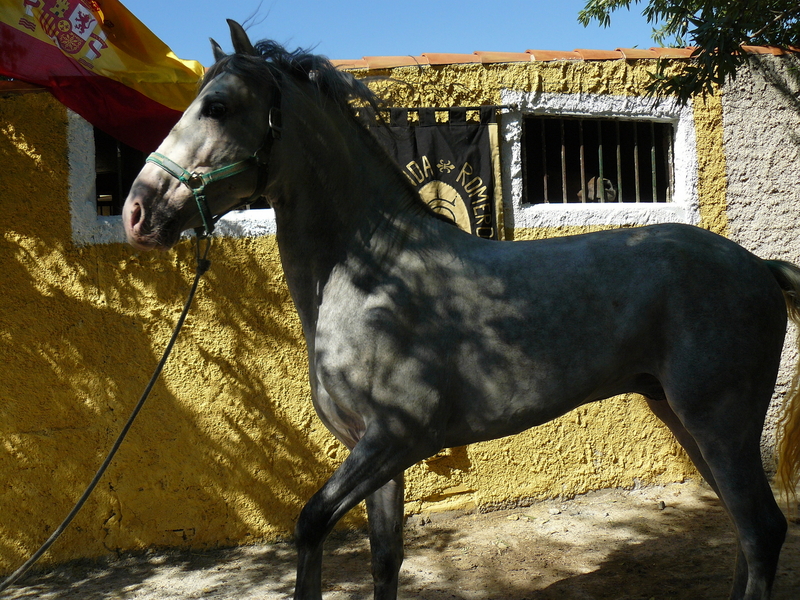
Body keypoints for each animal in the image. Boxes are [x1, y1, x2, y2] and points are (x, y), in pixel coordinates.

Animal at [122, 20, 800, 600]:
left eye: (217, 106)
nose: (136, 211)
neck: (373, 272)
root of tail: (758, 267)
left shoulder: (394, 438)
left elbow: (310, 526)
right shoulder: (376, 455)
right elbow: (384, 560)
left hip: (720, 422)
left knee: (762, 531)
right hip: (686, 420)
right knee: (743, 529)